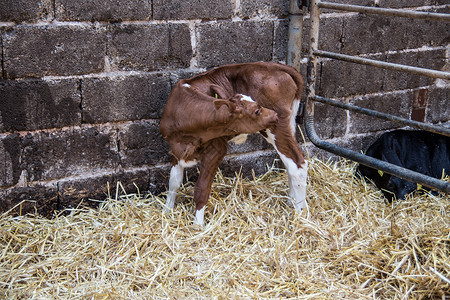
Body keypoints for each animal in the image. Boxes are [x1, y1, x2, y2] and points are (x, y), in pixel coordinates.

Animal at [160, 61, 308, 225]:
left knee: (298, 163)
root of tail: (273, 65)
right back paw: (291, 202)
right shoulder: (175, 149)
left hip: (277, 126)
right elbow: (174, 181)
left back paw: (300, 212)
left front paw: (198, 225)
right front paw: (167, 211)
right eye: (256, 111)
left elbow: (201, 188)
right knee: (290, 162)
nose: (273, 114)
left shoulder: (217, 149)